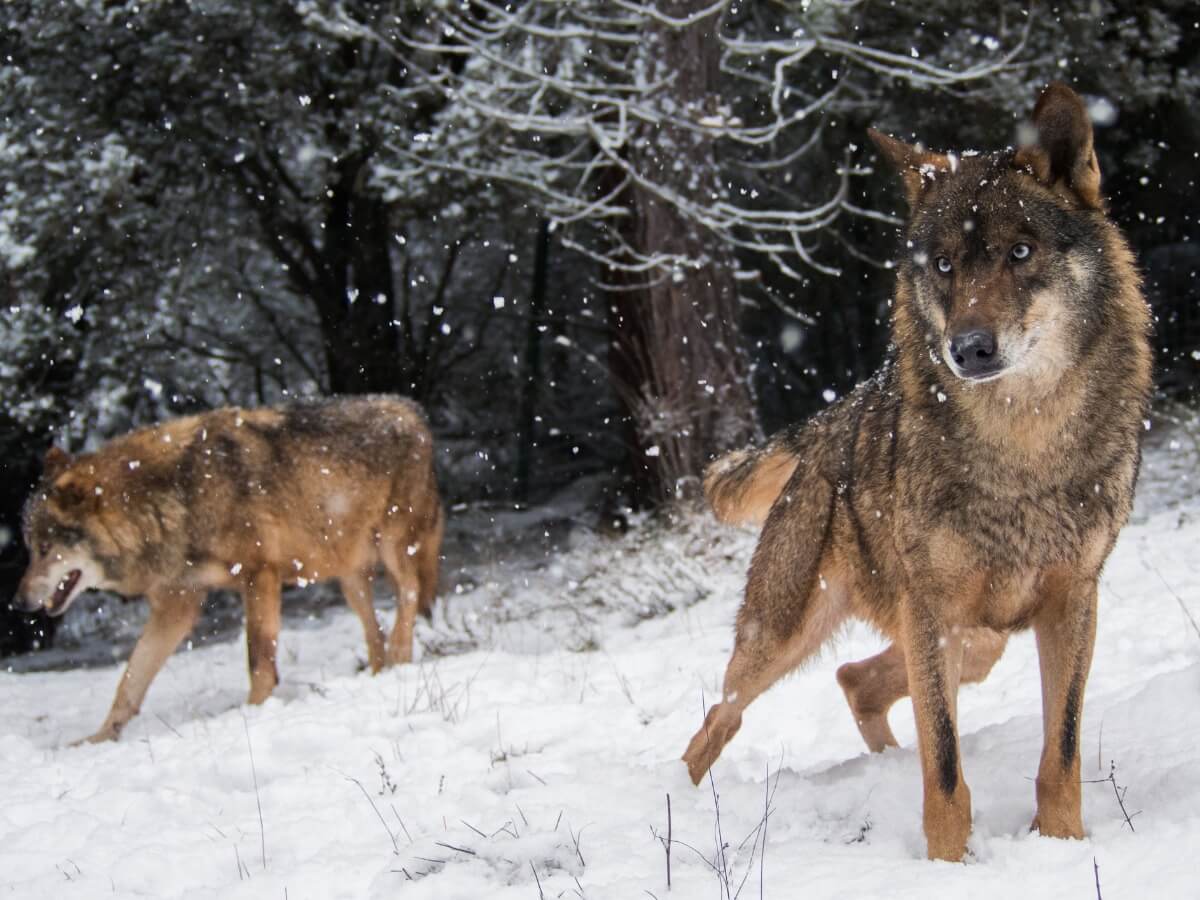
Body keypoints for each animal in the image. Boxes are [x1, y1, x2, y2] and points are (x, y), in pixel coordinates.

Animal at [12, 398, 446, 744]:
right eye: (30, 550)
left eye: (46, 550)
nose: (18, 603)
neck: (174, 498)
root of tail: (412, 411)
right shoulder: (176, 605)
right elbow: (130, 680)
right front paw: (98, 738)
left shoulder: (259, 575)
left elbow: (258, 659)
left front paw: (252, 712)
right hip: (349, 578)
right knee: (375, 631)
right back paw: (378, 674)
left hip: (394, 547)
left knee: (408, 595)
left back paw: (400, 656)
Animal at [686, 82, 1152, 859]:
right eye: (942, 265)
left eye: (1019, 251)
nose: (969, 348)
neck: (1022, 444)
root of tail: (827, 423)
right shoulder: (932, 609)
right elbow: (947, 766)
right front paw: (949, 865)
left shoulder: (1073, 599)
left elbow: (1060, 752)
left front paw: (1061, 847)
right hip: (787, 637)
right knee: (716, 722)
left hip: (977, 638)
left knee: (855, 679)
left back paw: (882, 764)